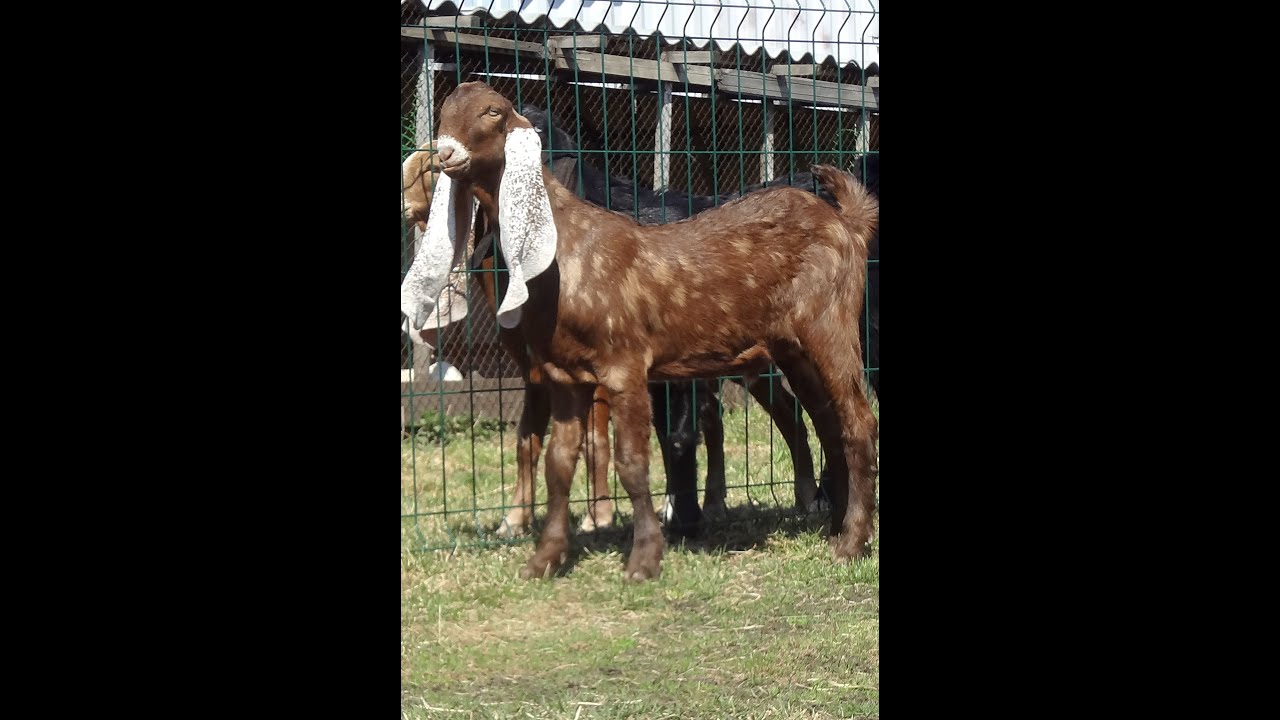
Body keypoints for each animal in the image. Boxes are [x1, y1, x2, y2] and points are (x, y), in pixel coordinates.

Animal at [404, 82, 875, 576]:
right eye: (444, 113)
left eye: (493, 112)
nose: (446, 154)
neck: (567, 245)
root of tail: (847, 224)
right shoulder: (563, 376)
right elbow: (558, 464)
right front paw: (545, 560)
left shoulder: (623, 364)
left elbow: (632, 461)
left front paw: (644, 558)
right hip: (790, 348)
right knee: (827, 422)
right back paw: (835, 526)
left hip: (830, 327)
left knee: (858, 421)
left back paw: (852, 542)